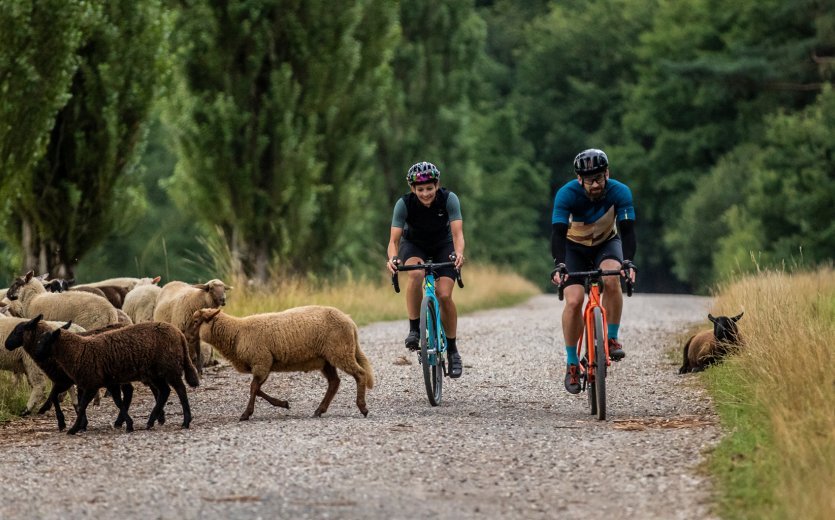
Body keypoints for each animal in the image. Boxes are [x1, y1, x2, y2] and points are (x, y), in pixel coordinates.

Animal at [21, 316, 199, 434]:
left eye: (46, 341)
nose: (36, 355)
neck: (78, 351)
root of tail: (179, 334)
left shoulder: (92, 384)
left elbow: (83, 405)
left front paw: (73, 428)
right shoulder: (108, 382)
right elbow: (118, 402)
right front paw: (128, 424)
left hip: (169, 368)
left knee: (180, 390)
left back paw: (185, 421)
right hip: (157, 373)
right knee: (164, 392)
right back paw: (151, 421)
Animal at [188, 306, 378, 420]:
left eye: (196, 321)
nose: (186, 336)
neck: (237, 333)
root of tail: (350, 322)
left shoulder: (262, 361)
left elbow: (253, 388)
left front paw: (246, 414)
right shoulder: (264, 364)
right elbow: (257, 389)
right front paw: (283, 404)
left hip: (340, 352)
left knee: (360, 374)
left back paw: (362, 408)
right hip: (327, 359)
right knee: (334, 382)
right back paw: (319, 410)